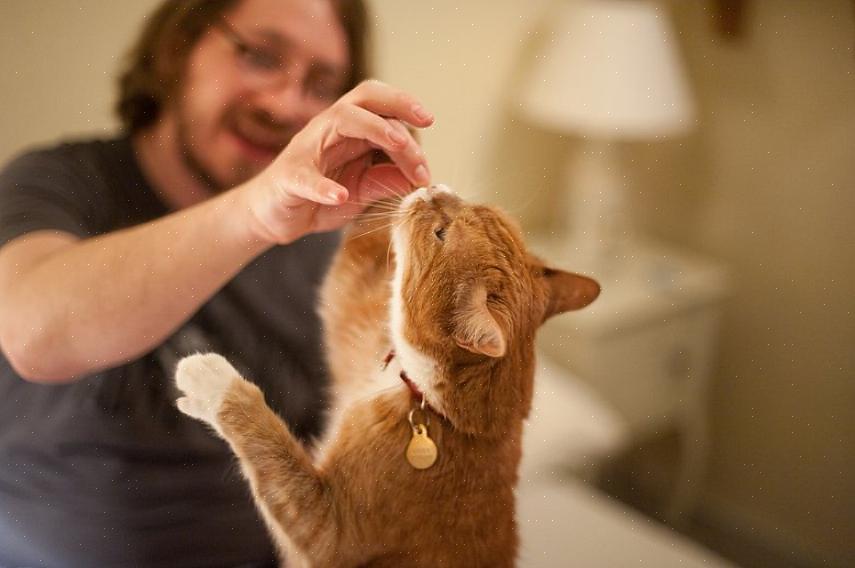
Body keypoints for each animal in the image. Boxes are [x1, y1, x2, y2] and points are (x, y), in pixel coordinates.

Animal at [175, 184, 600, 564]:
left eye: (440, 233)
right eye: (474, 206)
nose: (433, 190)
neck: (433, 407)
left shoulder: (328, 527)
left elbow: (268, 445)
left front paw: (210, 380)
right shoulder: (358, 330)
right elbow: (353, 270)